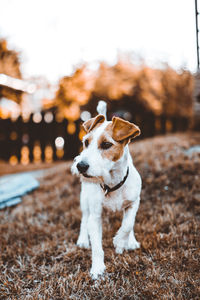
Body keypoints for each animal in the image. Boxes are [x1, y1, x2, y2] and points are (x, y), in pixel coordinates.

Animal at [71, 101, 141, 278]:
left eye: (106, 144)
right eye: (86, 142)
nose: (80, 166)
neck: (112, 184)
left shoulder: (134, 202)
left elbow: (128, 224)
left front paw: (121, 242)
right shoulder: (95, 216)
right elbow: (97, 246)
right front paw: (97, 268)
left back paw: (131, 241)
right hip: (85, 201)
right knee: (84, 219)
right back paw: (83, 240)